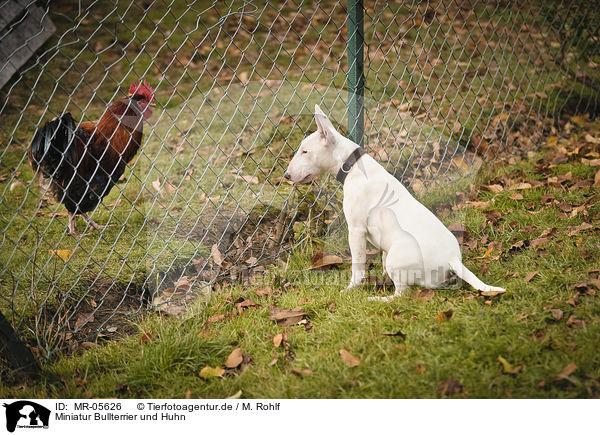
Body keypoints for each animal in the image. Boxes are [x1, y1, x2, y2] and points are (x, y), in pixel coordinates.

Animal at [286, 105, 506, 304]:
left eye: (305, 151)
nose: (286, 176)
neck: (353, 165)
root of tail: (453, 259)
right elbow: (382, 256)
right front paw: (382, 276)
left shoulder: (356, 230)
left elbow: (357, 267)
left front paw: (350, 289)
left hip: (399, 256)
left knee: (402, 295)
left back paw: (376, 298)